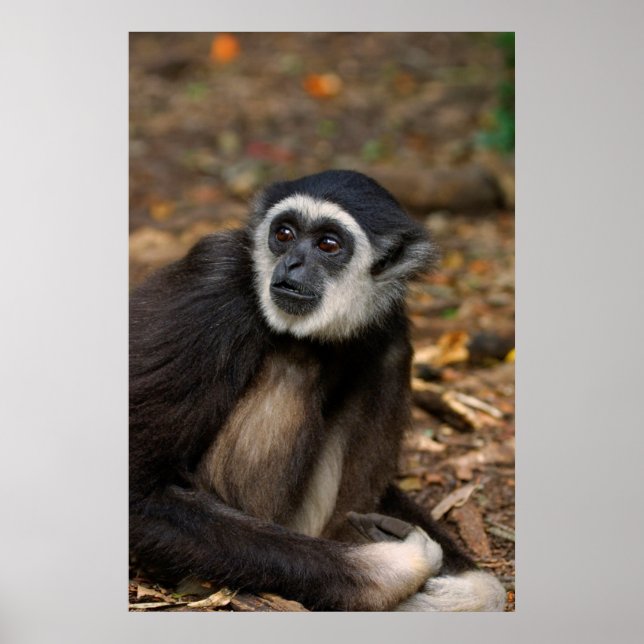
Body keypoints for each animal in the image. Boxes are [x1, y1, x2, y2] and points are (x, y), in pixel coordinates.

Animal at [129, 169, 506, 611]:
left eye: (328, 244)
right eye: (284, 234)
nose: (292, 262)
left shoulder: (387, 313)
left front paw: (469, 589)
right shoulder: (212, 285)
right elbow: (139, 496)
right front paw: (394, 571)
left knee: (388, 352)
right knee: (293, 358)